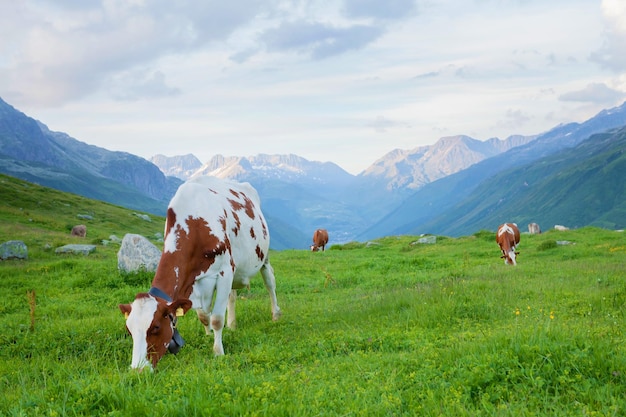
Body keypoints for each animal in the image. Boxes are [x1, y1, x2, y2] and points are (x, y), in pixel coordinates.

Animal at [116, 176, 280, 370]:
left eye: (155, 327)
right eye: (129, 330)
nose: (137, 369)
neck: (195, 223)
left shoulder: (224, 272)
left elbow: (216, 318)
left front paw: (218, 352)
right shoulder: (193, 280)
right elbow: (203, 316)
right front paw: (208, 337)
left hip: (263, 256)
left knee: (269, 282)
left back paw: (276, 314)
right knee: (232, 296)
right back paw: (232, 324)